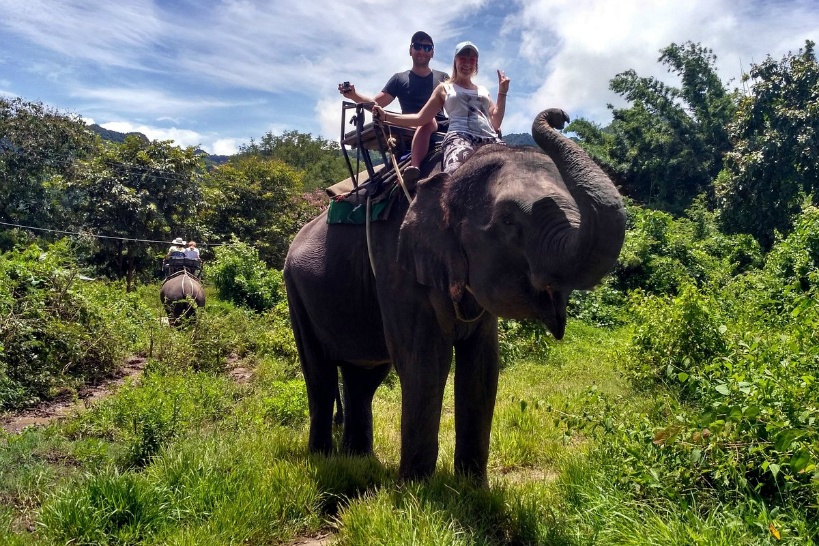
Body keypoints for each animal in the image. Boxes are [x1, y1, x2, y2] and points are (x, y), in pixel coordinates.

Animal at [284, 107, 628, 480]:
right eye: (508, 221)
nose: (560, 115)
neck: (450, 176)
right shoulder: (395, 265)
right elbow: (424, 362)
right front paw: (416, 488)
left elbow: (483, 367)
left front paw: (472, 486)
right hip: (296, 291)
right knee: (319, 375)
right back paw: (323, 458)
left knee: (364, 377)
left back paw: (358, 461)